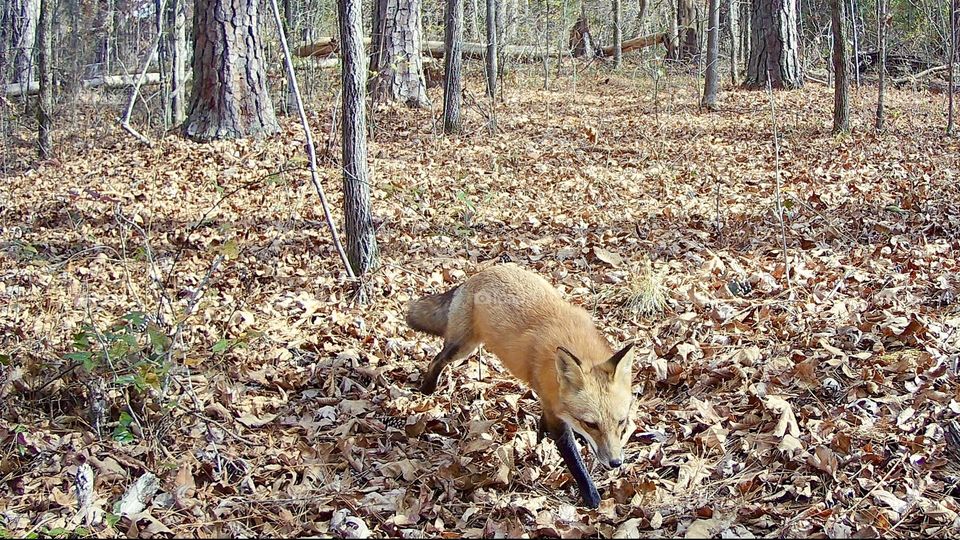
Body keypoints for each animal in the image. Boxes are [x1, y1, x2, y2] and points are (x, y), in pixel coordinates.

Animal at [406, 263, 636, 508]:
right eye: (591, 424)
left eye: (621, 422)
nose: (615, 462)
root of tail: (479, 274)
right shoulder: (554, 411)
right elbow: (574, 461)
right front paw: (591, 496)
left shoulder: (550, 399)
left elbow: (545, 425)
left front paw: (541, 441)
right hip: (463, 347)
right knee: (436, 360)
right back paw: (427, 389)